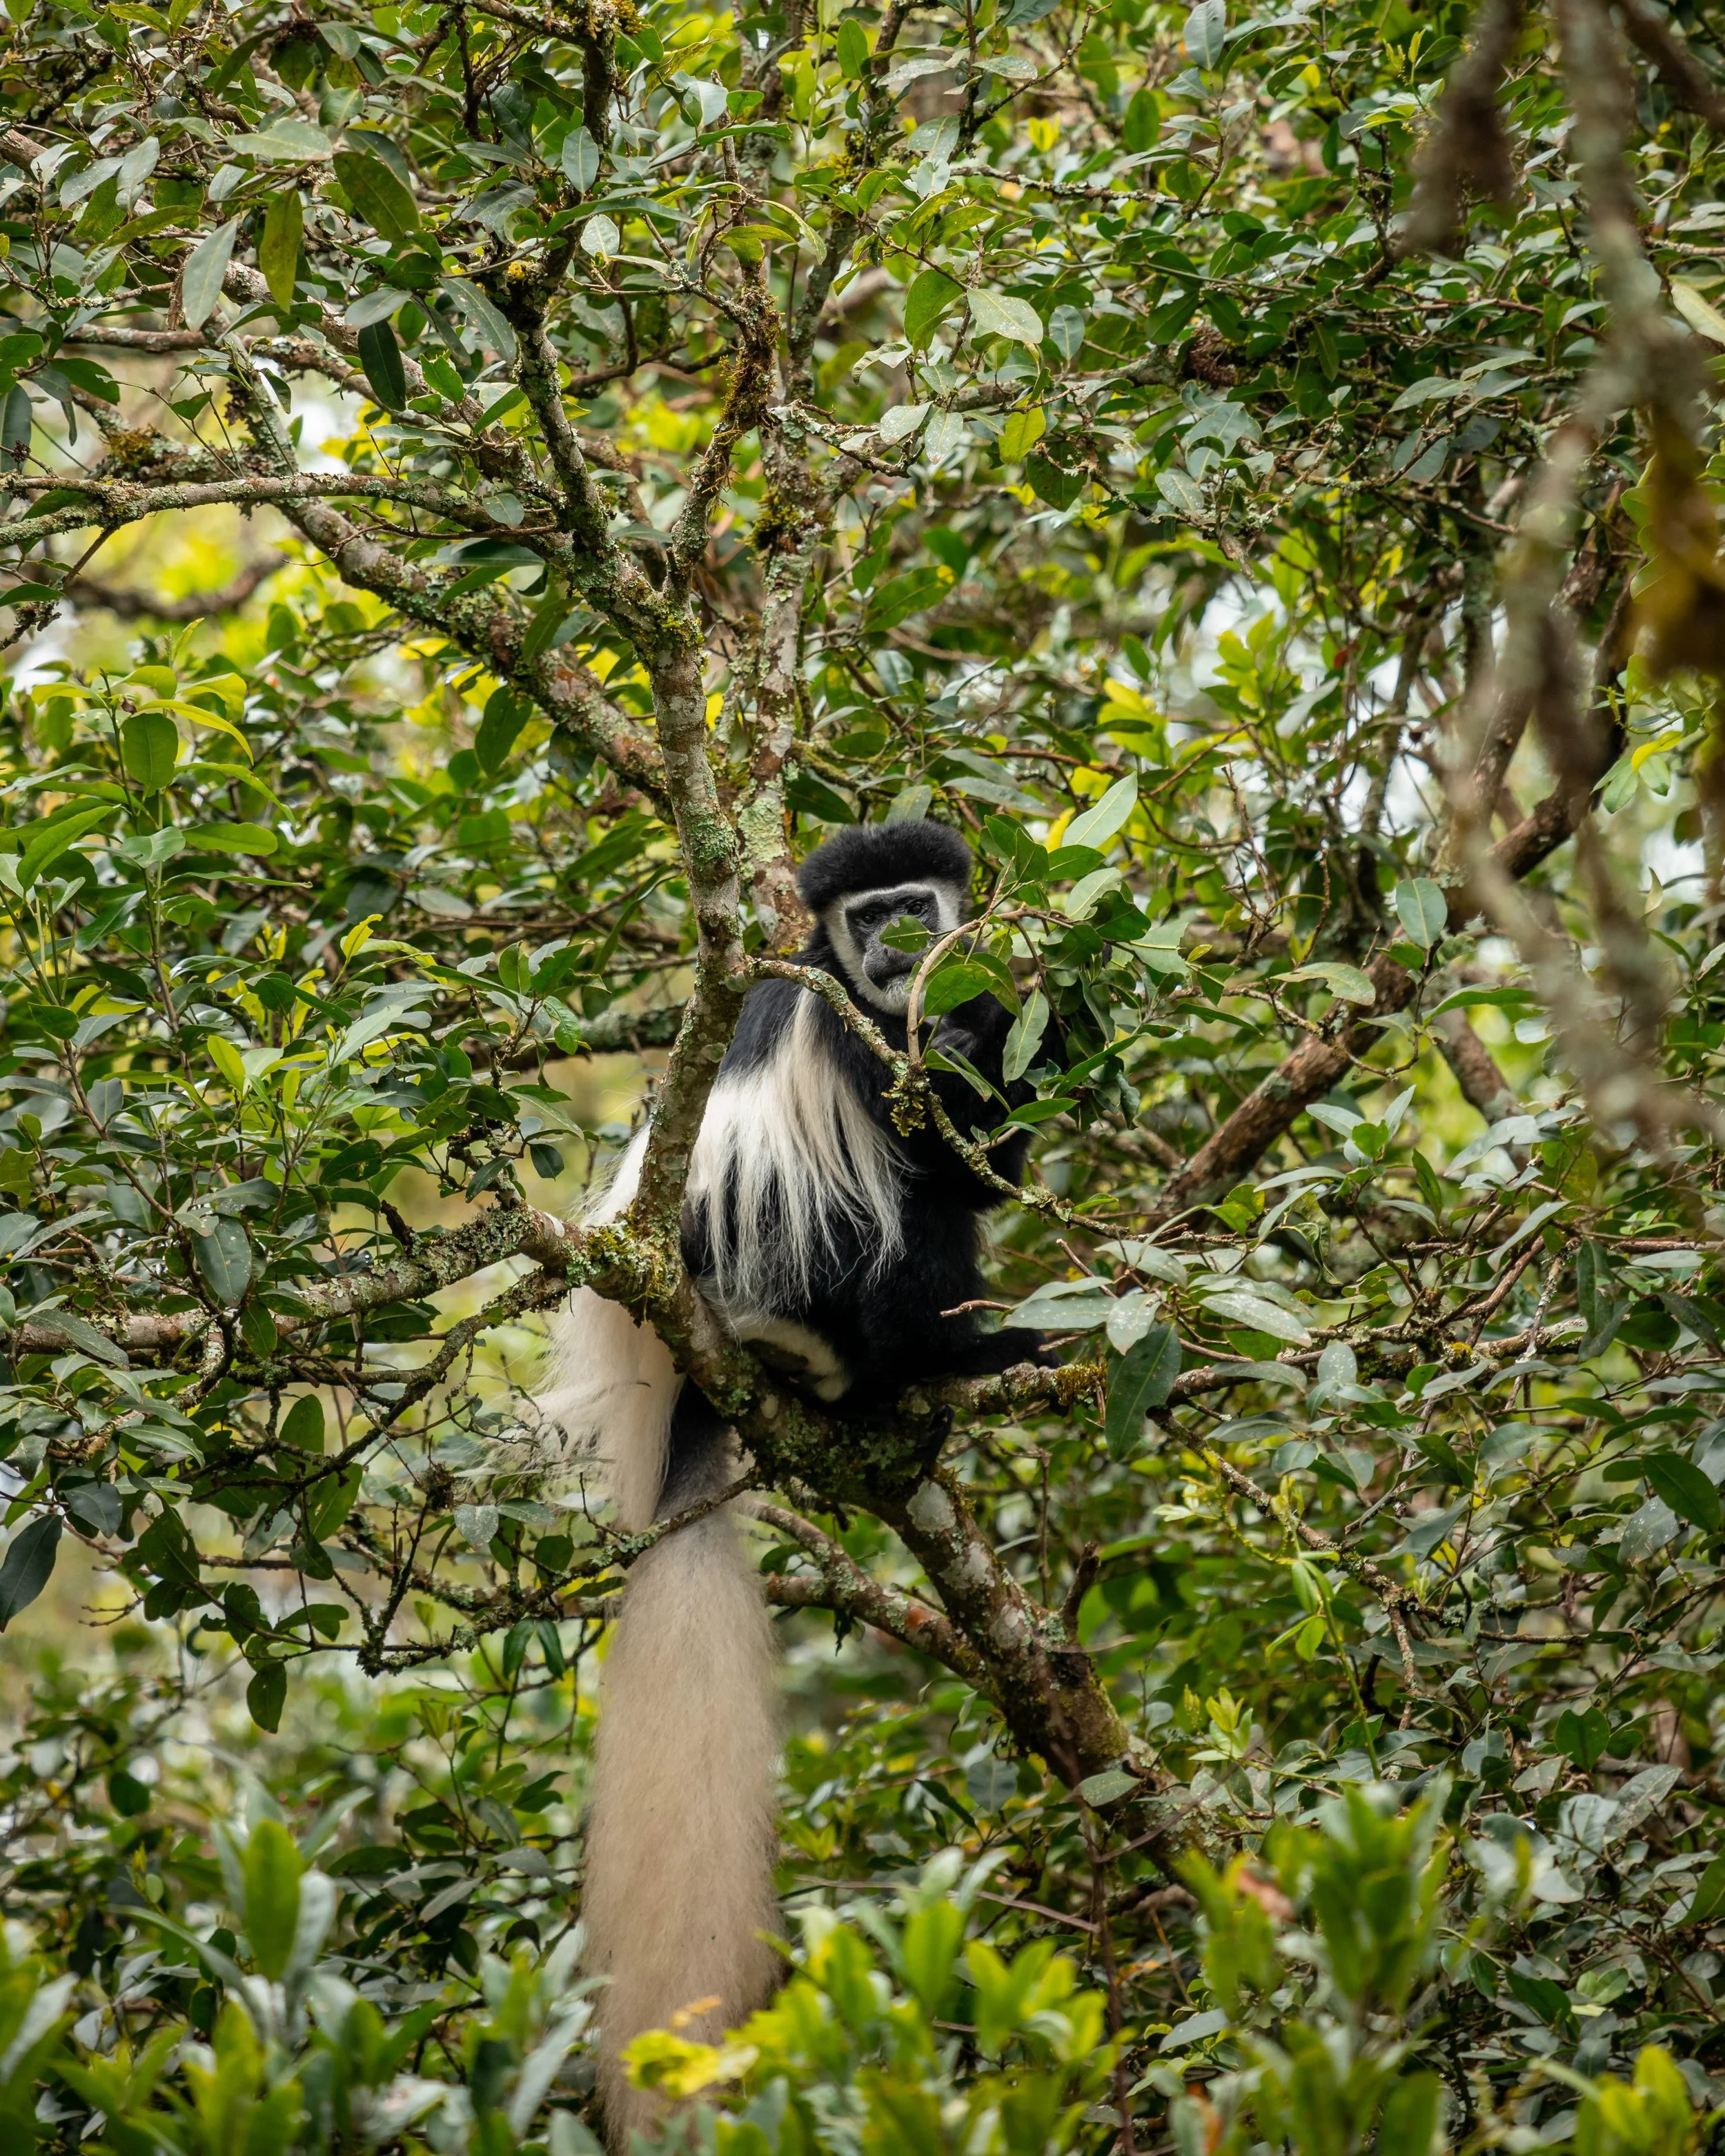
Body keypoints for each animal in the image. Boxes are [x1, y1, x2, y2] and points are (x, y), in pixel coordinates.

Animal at [536, 821, 1045, 2140]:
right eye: (867, 917)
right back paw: (943, 1361)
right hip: (791, 1263)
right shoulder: (858, 1043)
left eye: (915, 903)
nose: (899, 943)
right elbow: (946, 1161)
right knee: (895, 1213)